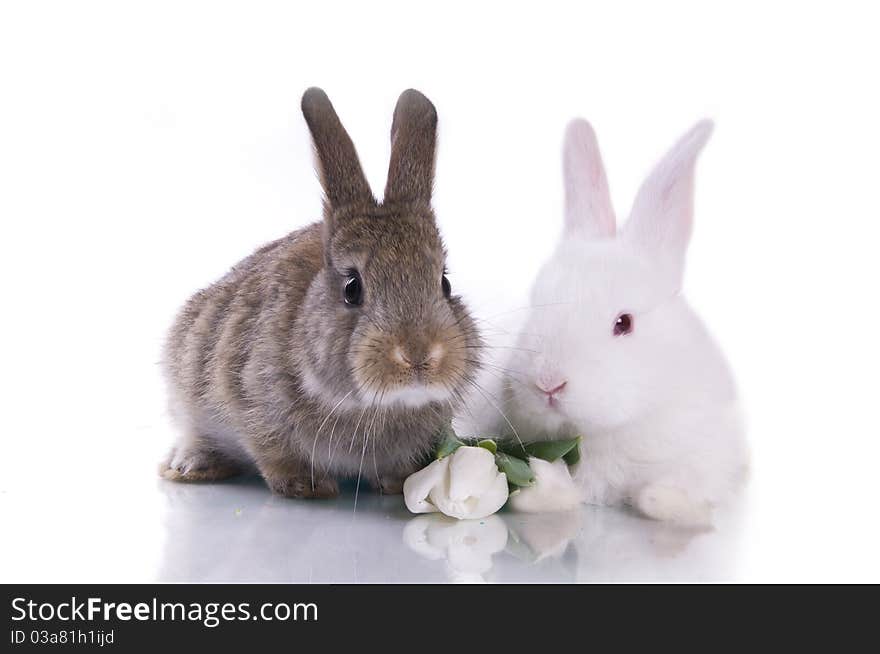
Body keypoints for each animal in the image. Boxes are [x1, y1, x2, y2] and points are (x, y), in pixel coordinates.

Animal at [163, 86, 482, 498]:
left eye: (444, 283)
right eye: (352, 287)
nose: (419, 356)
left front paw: (396, 482)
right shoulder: (251, 404)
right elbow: (271, 450)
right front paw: (307, 486)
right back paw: (191, 466)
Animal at [468, 119, 748, 528]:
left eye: (623, 322)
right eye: (536, 302)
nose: (548, 383)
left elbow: (679, 486)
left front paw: (667, 503)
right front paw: (539, 492)